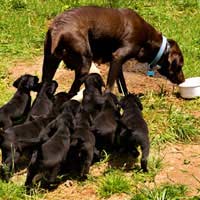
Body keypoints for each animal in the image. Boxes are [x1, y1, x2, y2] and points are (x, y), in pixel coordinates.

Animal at [41, 5, 184, 95]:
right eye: (180, 65)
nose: (183, 80)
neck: (148, 39)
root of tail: (59, 29)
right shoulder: (118, 57)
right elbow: (110, 86)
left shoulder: (116, 62)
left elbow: (123, 84)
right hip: (84, 65)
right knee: (71, 91)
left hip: (49, 64)